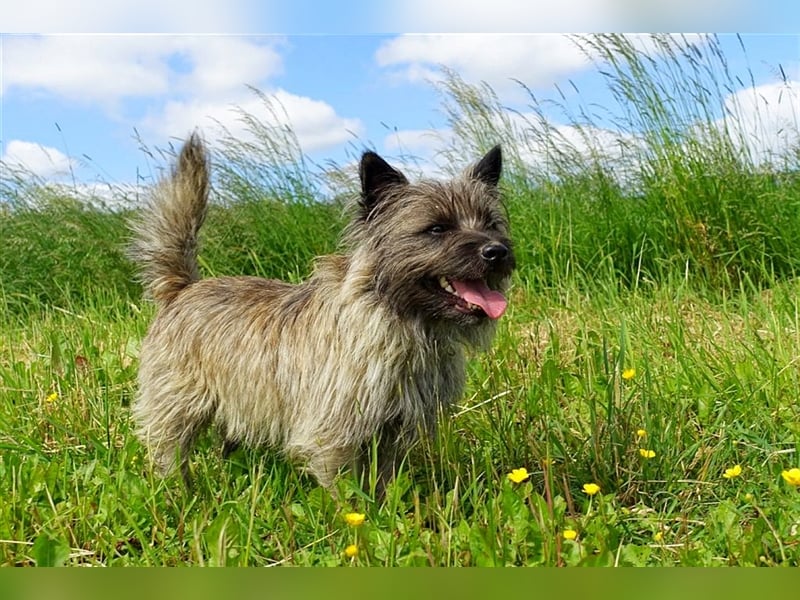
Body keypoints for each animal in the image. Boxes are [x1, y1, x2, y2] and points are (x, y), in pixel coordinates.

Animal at [128, 134, 516, 494]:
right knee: (168, 448)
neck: (403, 321)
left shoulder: (391, 431)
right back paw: (180, 491)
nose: (497, 251)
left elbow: (384, 479)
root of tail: (183, 288)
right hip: (178, 405)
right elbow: (345, 489)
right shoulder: (333, 433)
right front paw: (359, 515)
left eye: (491, 224)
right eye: (437, 228)